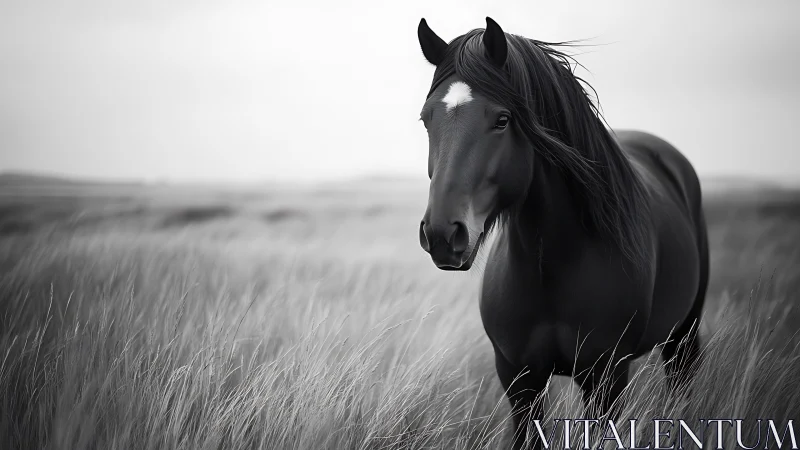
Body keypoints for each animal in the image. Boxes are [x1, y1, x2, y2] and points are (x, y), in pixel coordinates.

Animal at [415, 17, 709, 449]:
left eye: (502, 120)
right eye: (426, 119)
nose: (442, 234)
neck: (553, 267)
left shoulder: (605, 378)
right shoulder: (519, 380)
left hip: (682, 336)